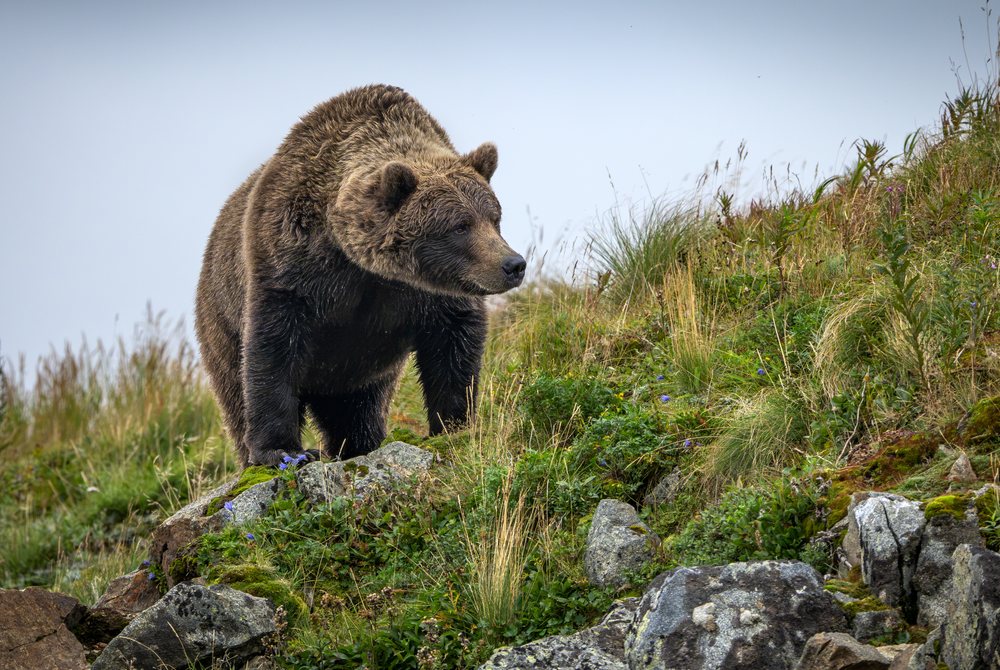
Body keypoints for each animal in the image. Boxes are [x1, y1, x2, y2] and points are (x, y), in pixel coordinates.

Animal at [195, 84, 524, 467]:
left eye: (494, 217)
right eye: (460, 225)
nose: (513, 264)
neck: (362, 265)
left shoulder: (427, 294)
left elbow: (454, 347)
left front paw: (455, 426)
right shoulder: (292, 266)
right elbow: (272, 351)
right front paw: (281, 449)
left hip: (352, 368)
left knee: (358, 404)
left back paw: (361, 442)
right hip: (219, 318)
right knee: (234, 388)